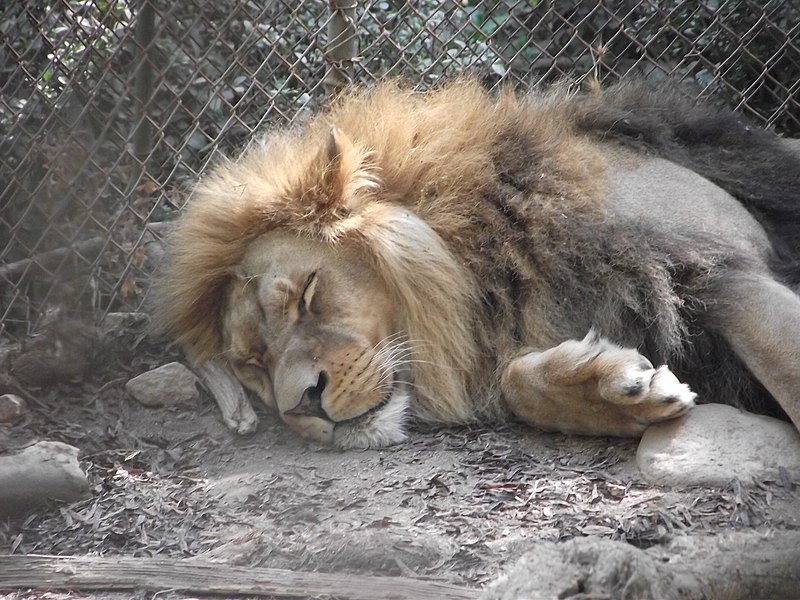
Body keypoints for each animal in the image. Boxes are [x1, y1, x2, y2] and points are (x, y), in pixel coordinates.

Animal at [153, 78, 800, 448]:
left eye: (308, 294)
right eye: (251, 364)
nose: (300, 404)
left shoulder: (729, 271)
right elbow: (516, 381)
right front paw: (618, 391)